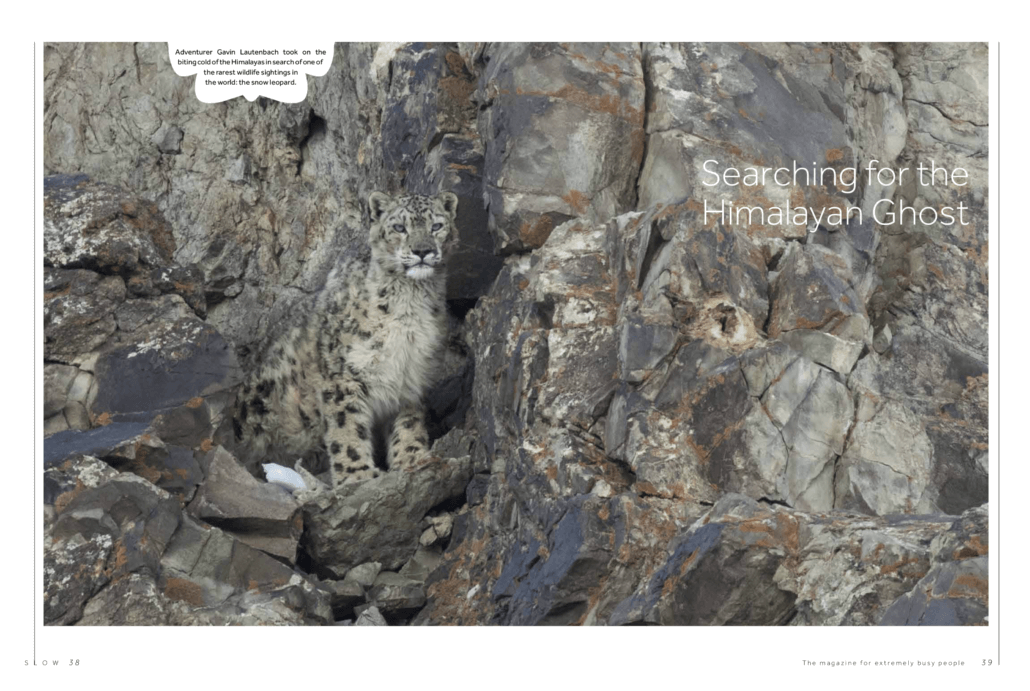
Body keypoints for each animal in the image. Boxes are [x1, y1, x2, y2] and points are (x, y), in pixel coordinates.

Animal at [233, 191, 457, 489]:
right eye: (400, 227)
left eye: (437, 226)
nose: (423, 250)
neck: (409, 308)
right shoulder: (343, 375)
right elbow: (347, 427)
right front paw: (357, 474)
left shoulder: (412, 376)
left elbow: (408, 422)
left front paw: (413, 457)